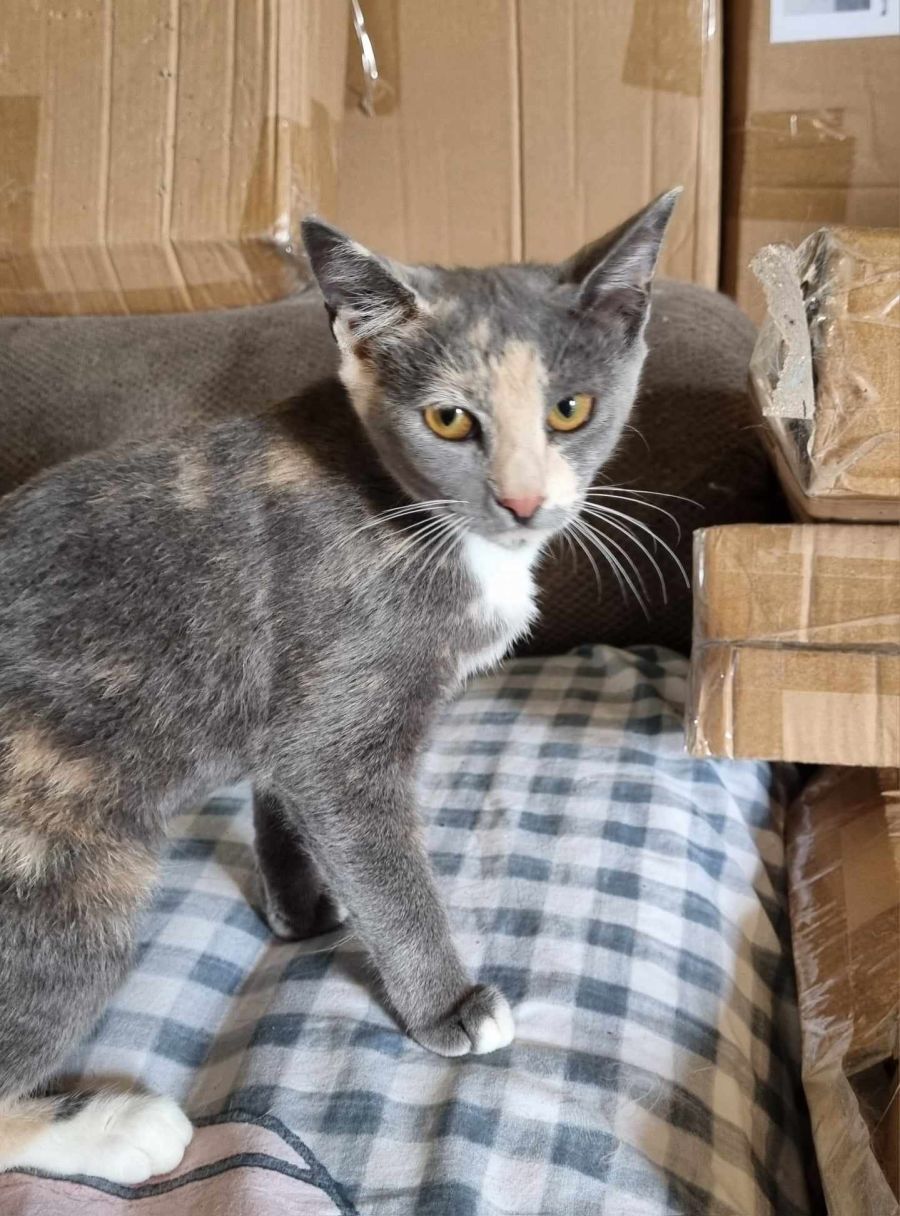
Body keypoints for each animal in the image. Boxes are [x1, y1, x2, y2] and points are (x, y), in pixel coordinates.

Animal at [0, 189, 678, 1183]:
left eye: (570, 408)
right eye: (448, 421)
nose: (522, 501)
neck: (401, 506)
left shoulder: (295, 709)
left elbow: (283, 795)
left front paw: (303, 906)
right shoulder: (343, 719)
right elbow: (385, 863)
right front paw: (445, 1004)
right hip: (71, 879)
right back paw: (122, 1128)